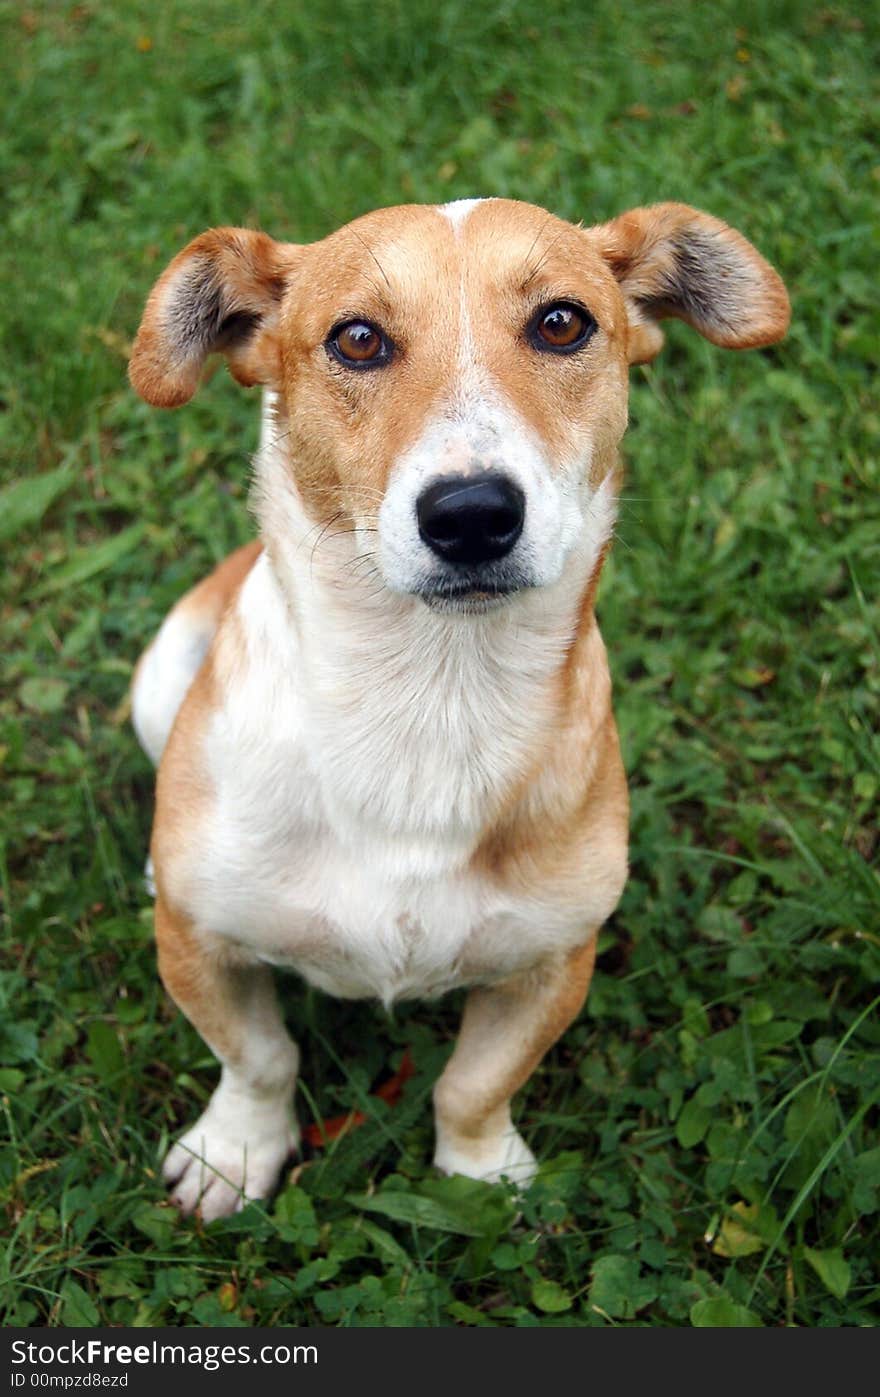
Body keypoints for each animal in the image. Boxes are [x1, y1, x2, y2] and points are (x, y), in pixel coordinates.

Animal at [125, 196, 793, 1223]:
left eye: (561, 322)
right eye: (357, 338)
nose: (473, 512)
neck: (428, 703)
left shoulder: (554, 961)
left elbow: (474, 1085)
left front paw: (479, 1176)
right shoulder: (201, 948)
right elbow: (260, 1057)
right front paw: (234, 1152)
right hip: (161, 678)